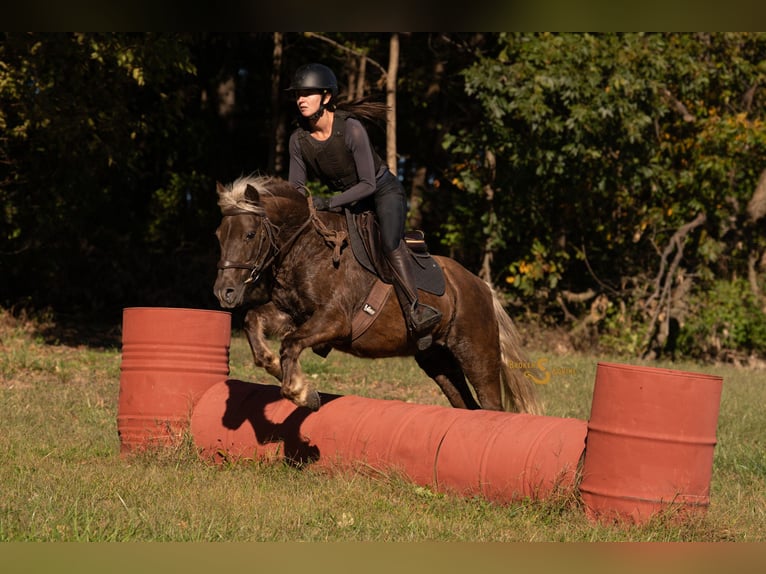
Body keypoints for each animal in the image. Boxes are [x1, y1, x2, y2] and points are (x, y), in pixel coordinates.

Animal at [213, 174, 541, 415]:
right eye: (219, 235)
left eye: (250, 235)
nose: (224, 292)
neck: (308, 249)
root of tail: (482, 287)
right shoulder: (291, 313)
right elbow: (253, 320)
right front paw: (272, 365)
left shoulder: (335, 321)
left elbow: (291, 342)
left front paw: (301, 393)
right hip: (438, 360)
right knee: (466, 404)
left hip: (476, 355)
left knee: (491, 405)